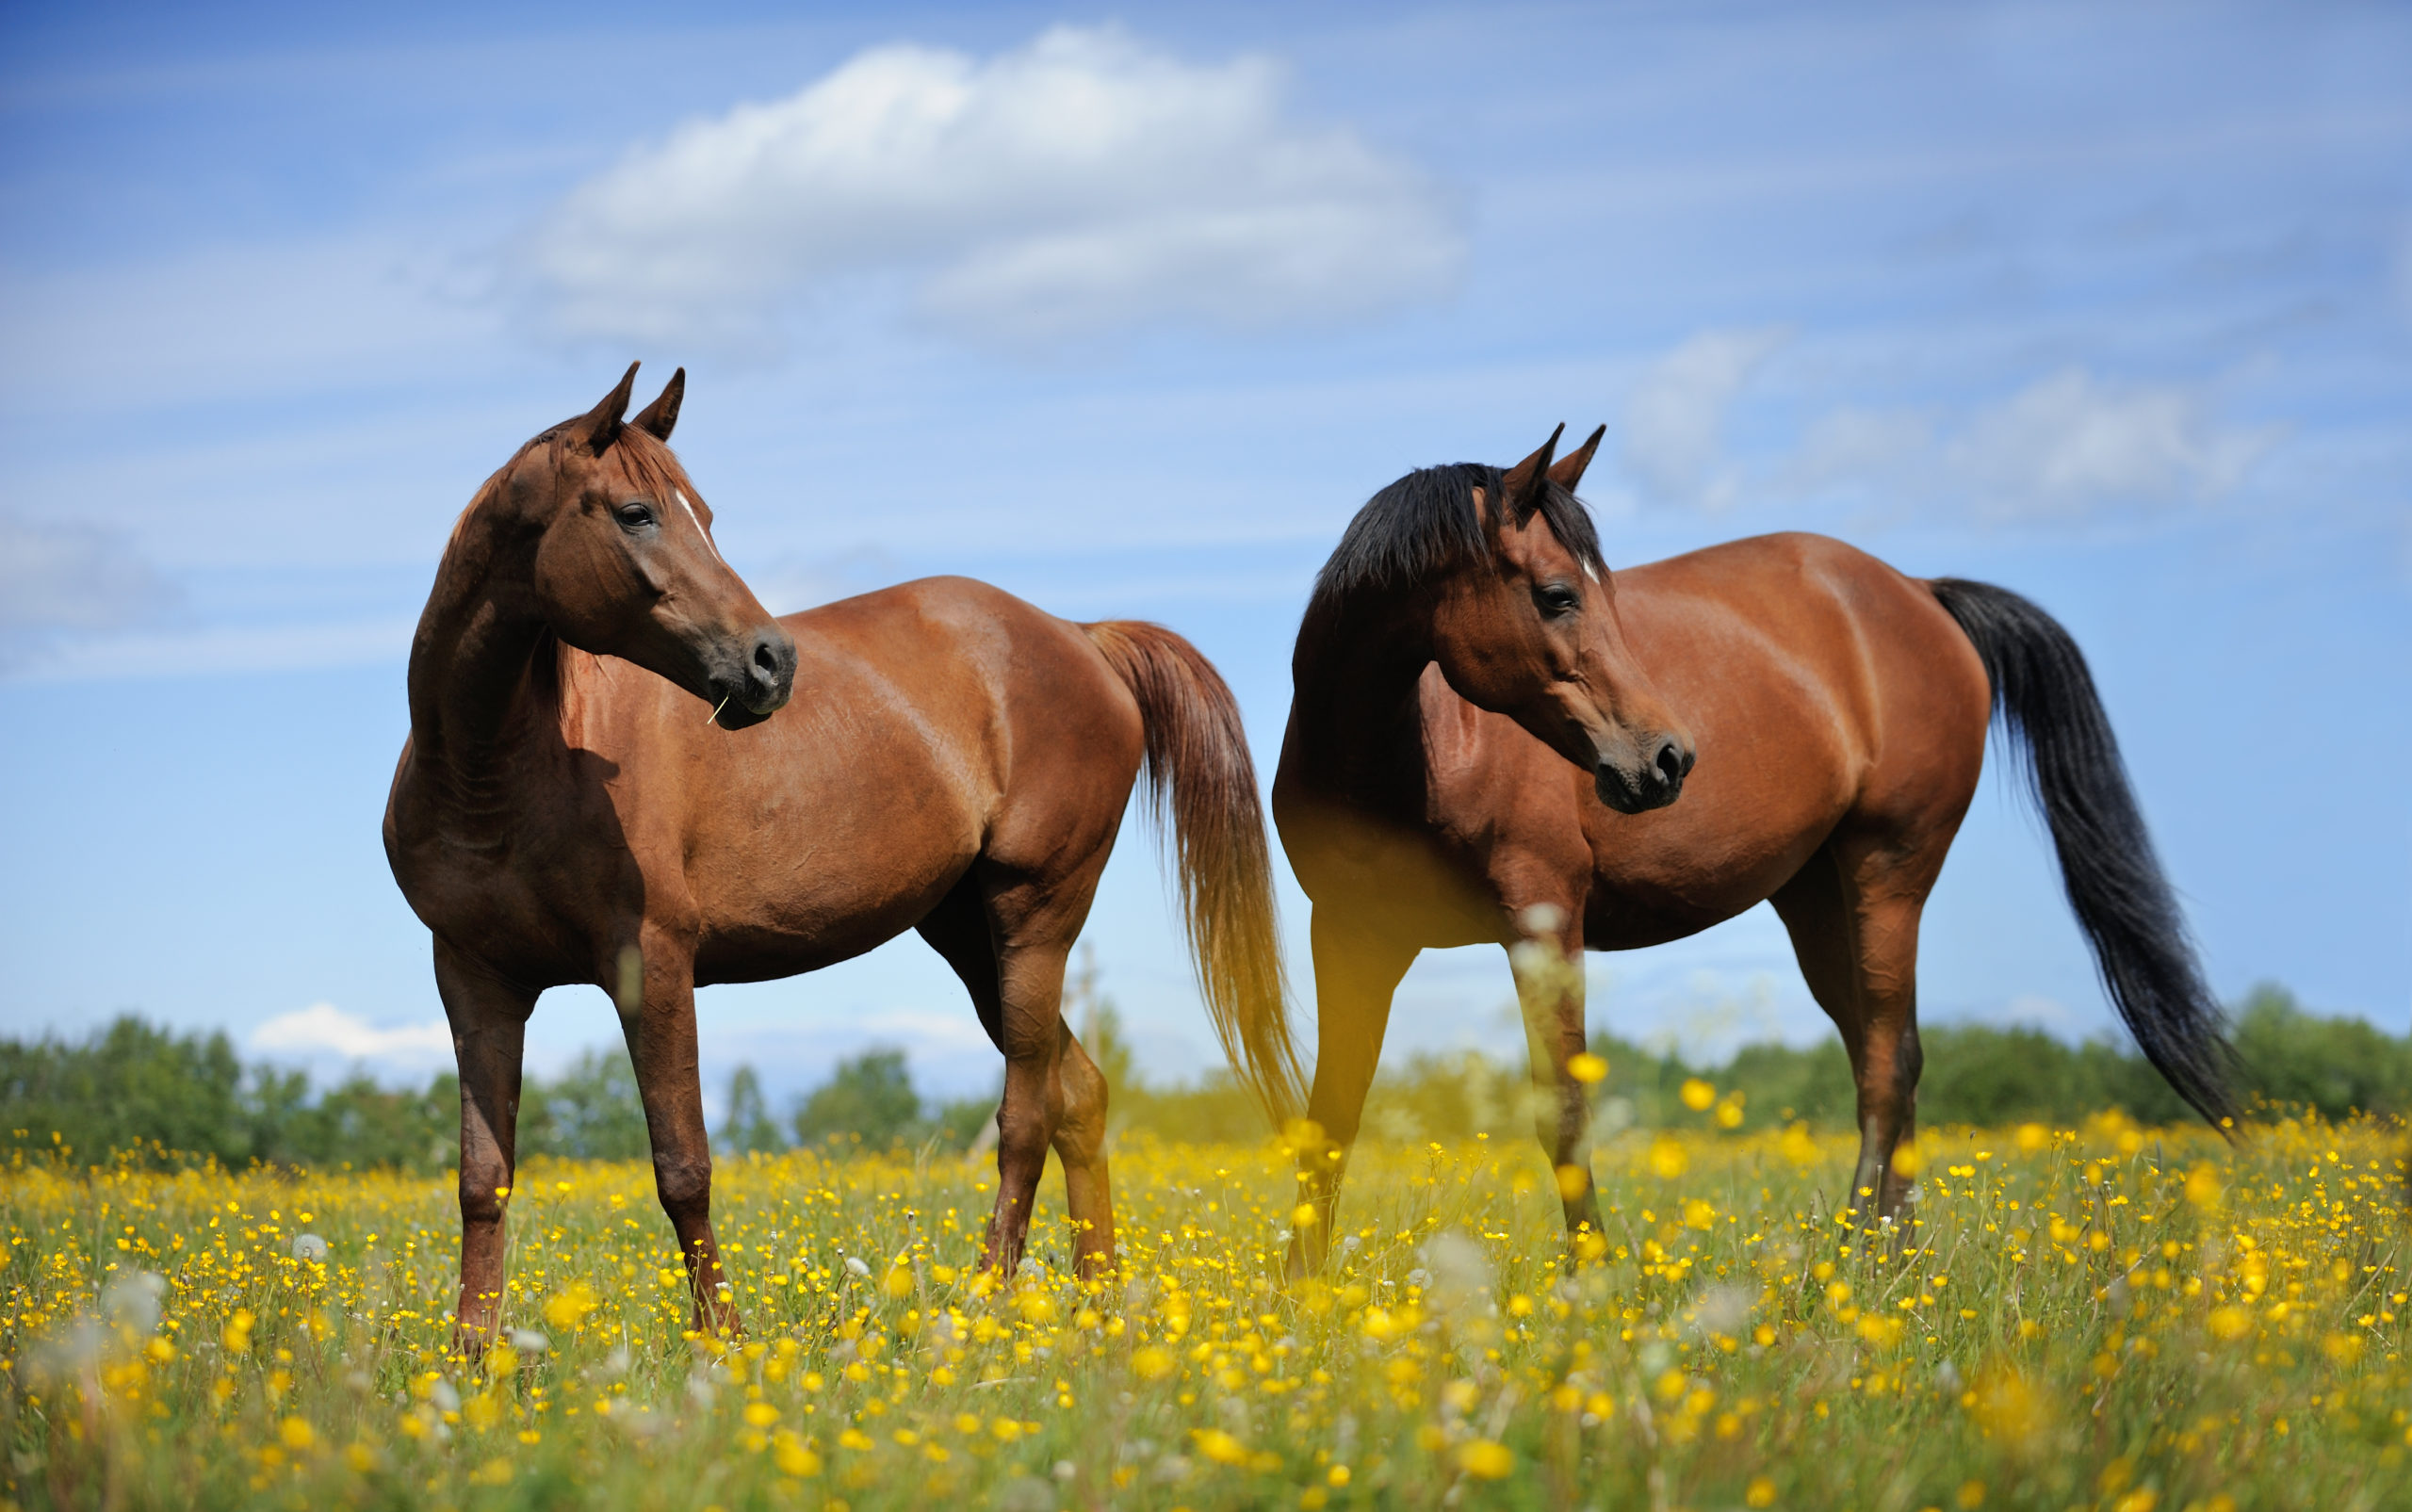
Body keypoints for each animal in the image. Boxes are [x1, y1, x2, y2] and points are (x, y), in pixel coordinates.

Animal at [381, 368, 1302, 1350]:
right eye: (636, 512)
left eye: (706, 513)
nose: (770, 662)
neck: (502, 771)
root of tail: (1083, 635)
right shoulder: (475, 981)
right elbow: (483, 1178)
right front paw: (474, 1356)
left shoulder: (652, 964)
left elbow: (683, 1165)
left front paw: (722, 1341)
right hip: (966, 931)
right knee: (1080, 1094)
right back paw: (1099, 1303)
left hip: (1034, 916)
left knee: (1027, 1112)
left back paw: (986, 1301)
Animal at [1282, 427, 2238, 1273]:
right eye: (1557, 593)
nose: (1666, 759)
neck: (1415, 752)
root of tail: (1920, 591)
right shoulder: (1352, 938)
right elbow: (1331, 1115)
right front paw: (1302, 1291)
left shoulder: (1544, 922)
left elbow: (1565, 1111)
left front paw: (1595, 1282)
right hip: (1815, 898)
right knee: (1890, 1053)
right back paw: (1898, 1259)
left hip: (1889, 871)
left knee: (1887, 1066)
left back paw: (1859, 1260)